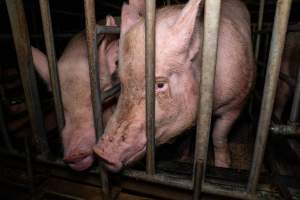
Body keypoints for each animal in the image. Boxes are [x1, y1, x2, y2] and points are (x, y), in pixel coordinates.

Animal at [94, 0, 255, 172]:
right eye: (121, 81)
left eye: (160, 85)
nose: (100, 153)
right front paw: (183, 157)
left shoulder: (237, 103)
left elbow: (218, 136)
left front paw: (222, 166)